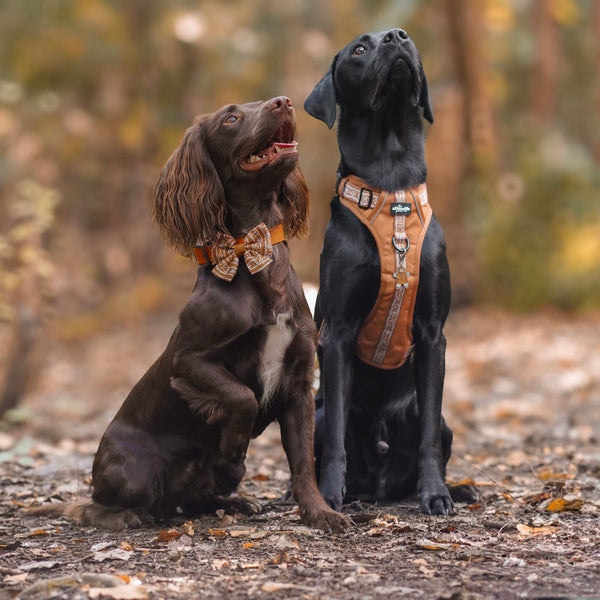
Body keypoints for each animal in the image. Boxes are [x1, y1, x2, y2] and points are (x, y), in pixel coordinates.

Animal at [308, 29, 476, 516]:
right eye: (359, 50)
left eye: (406, 38)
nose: (395, 36)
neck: (392, 190)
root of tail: (378, 487)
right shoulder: (338, 333)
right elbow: (338, 432)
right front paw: (329, 497)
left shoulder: (433, 333)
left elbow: (428, 441)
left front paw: (437, 494)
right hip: (316, 413)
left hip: (433, 418)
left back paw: (459, 489)